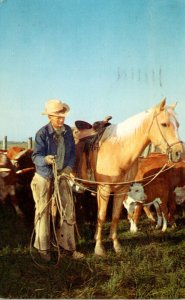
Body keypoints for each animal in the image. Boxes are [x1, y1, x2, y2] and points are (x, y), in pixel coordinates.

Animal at [74, 99, 184, 255]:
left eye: (178, 124)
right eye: (164, 124)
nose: (178, 153)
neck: (118, 151)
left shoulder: (121, 190)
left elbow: (115, 216)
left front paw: (116, 245)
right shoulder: (104, 189)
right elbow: (102, 216)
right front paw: (99, 247)